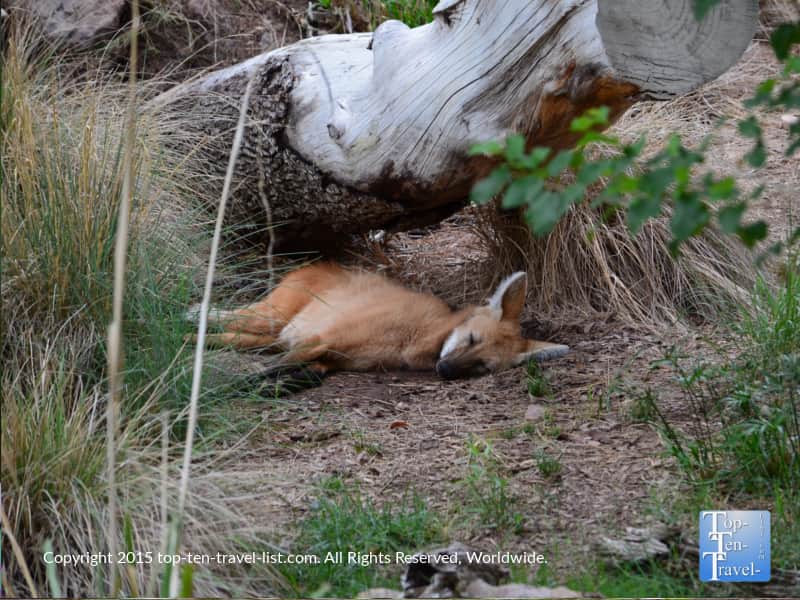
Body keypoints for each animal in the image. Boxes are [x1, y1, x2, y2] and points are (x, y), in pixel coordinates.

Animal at [188, 262, 568, 381]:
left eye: (482, 366)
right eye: (472, 339)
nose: (445, 370)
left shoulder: (326, 357)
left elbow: (303, 371)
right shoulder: (317, 341)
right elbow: (263, 373)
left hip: (271, 334)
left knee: (227, 335)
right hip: (270, 318)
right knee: (219, 316)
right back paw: (186, 315)